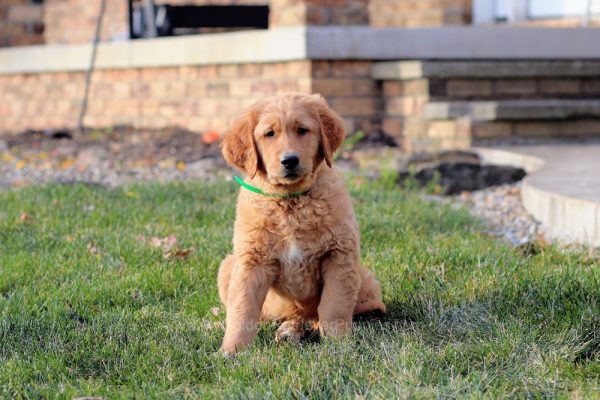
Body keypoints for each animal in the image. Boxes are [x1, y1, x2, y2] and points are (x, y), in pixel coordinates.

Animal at [219, 93, 384, 354]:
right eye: (269, 134)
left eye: (303, 130)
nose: (290, 161)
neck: (291, 202)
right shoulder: (251, 261)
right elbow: (242, 310)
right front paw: (231, 351)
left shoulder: (339, 255)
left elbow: (334, 306)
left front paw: (339, 346)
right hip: (228, 266)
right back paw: (287, 330)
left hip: (363, 276)